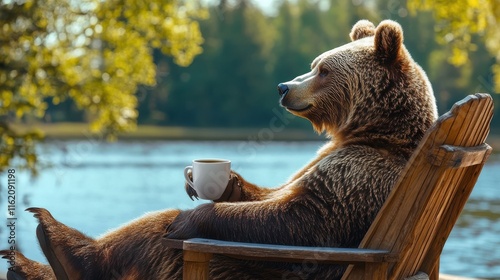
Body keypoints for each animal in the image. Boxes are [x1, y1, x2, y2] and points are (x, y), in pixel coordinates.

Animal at [0, 18, 438, 278]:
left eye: (324, 70)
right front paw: (215, 181)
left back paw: (63, 246)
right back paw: (34, 258)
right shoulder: (320, 160)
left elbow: (299, 218)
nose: (284, 87)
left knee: (157, 232)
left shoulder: (360, 176)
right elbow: (269, 193)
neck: (374, 132)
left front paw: (190, 217)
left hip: (236, 268)